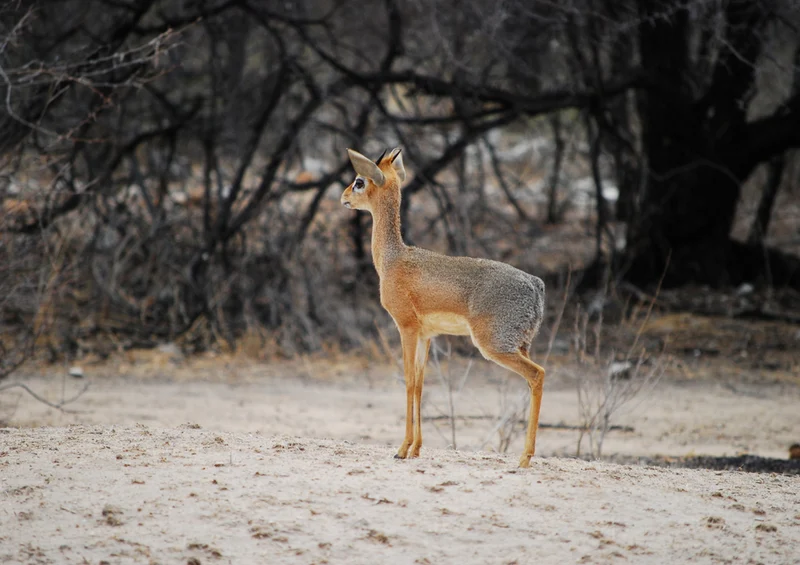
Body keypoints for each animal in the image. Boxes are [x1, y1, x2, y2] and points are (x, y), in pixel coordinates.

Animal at [341, 147, 546, 468]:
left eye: (359, 181)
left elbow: (408, 381)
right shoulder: (427, 335)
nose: (344, 197)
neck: (393, 260)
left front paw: (402, 449)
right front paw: (416, 448)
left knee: (538, 375)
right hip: (519, 345)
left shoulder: (406, 328)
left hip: (494, 346)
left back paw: (524, 458)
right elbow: (421, 384)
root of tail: (536, 285)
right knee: (533, 379)